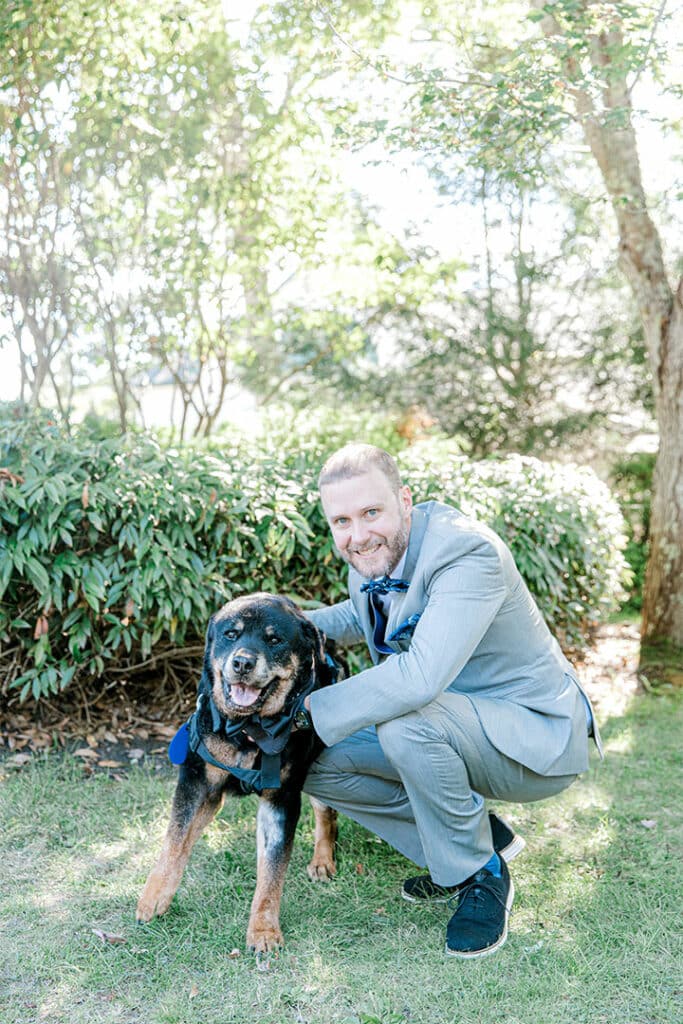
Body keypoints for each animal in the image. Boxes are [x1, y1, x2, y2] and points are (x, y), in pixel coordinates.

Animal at [137, 593, 339, 950]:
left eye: (274, 640)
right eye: (231, 634)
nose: (243, 663)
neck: (247, 730)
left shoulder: (281, 799)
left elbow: (273, 873)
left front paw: (263, 930)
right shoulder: (196, 782)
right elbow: (175, 842)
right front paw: (154, 897)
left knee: (325, 816)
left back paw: (322, 860)